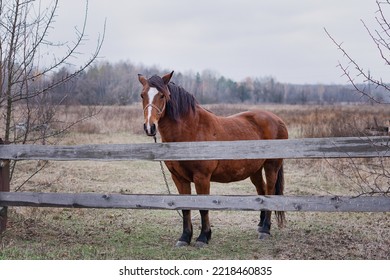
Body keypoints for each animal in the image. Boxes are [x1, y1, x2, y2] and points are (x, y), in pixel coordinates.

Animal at [139, 71, 288, 247]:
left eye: (162, 95)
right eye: (142, 95)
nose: (150, 127)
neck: (192, 130)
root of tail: (277, 120)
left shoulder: (202, 178)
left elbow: (203, 208)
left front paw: (203, 237)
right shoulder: (179, 178)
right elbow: (185, 207)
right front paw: (185, 237)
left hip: (271, 166)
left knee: (270, 192)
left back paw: (265, 229)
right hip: (255, 170)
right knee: (262, 191)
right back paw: (261, 224)